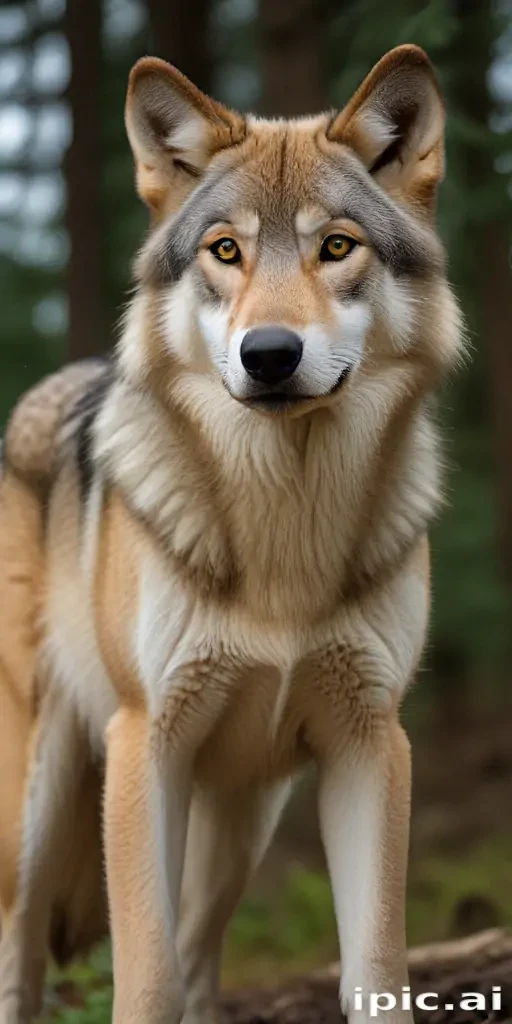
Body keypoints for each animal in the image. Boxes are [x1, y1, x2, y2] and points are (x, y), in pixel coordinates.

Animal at [0, 44, 463, 1024]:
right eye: (226, 251)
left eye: (337, 246)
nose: (271, 354)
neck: (283, 533)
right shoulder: (147, 742)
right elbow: (146, 977)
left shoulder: (372, 741)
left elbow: (375, 969)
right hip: (39, 805)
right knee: (21, 953)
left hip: (241, 822)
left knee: (201, 950)